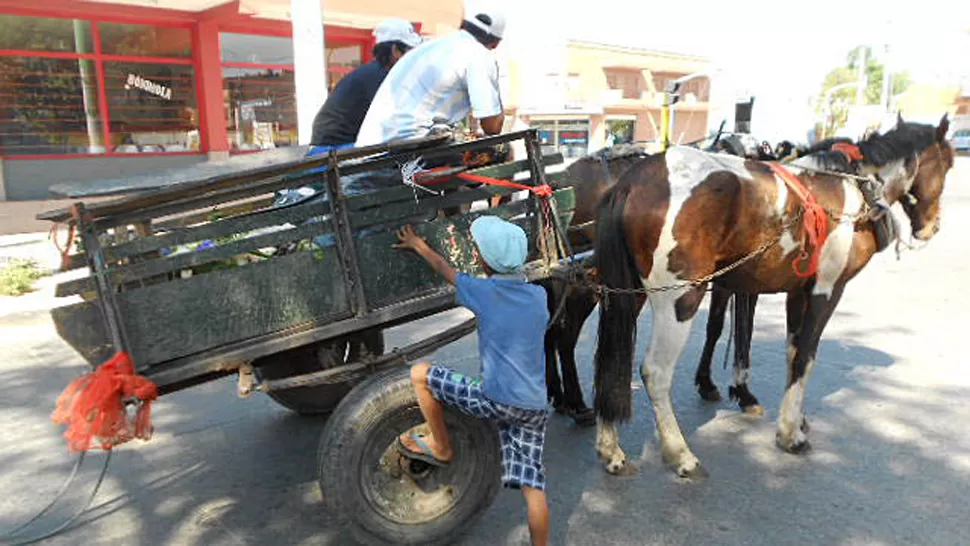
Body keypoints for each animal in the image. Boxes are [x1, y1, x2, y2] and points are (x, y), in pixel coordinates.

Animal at [588, 116, 952, 476]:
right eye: (947, 163)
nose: (931, 227)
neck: (854, 186)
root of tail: (632, 181)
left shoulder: (798, 291)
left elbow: (792, 352)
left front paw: (796, 418)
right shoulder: (827, 290)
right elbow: (806, 355)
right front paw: (791, 434)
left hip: (629, 292)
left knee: (610, 359)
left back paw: (610, 449)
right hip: (682, 297)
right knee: (655, 372)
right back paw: (680, 453)